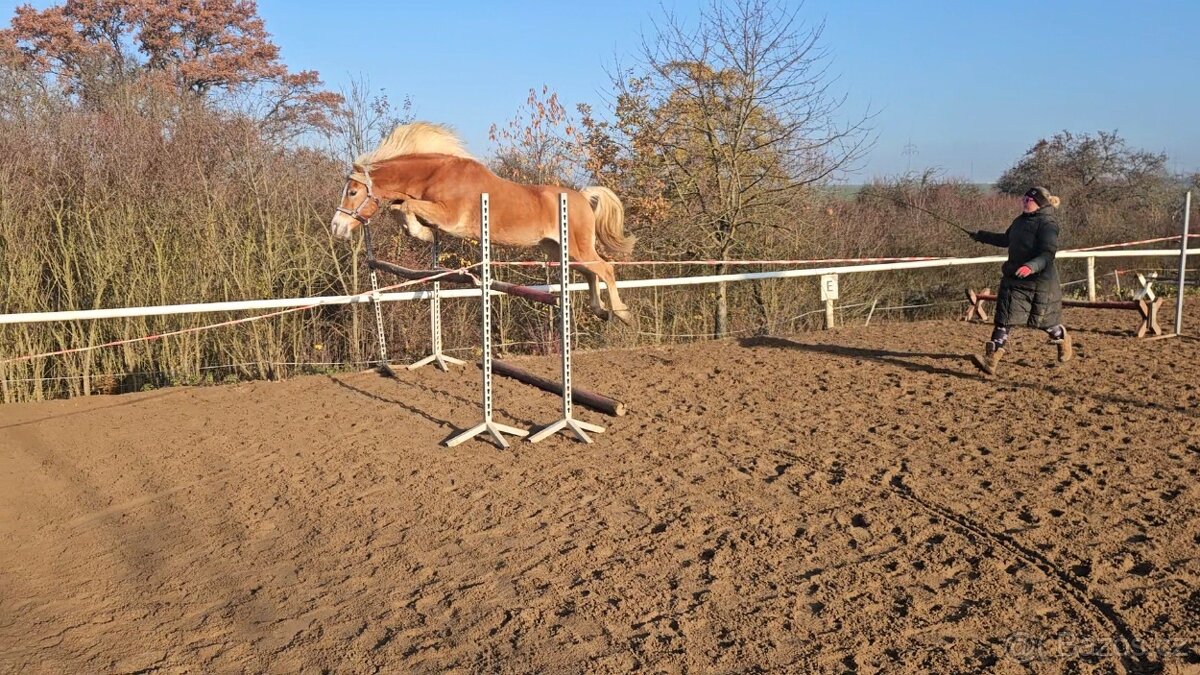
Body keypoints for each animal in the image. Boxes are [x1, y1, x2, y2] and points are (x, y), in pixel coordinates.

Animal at [329, 122, 636, 326]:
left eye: (352, 192)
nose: (336, 227)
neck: (436, 174)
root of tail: (583, 197)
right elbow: (399, 208)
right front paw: (421, 233)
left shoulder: (449, 217)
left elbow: (405, 206)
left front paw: (422, 232)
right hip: (560, 250)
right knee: (590, 273)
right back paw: (600, 310)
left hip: (577, 248)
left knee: (605, 269)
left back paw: (622, 313)